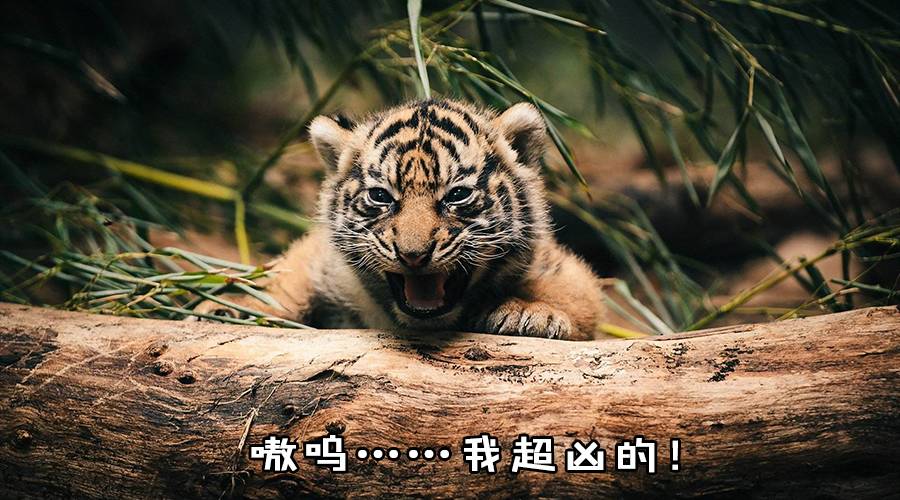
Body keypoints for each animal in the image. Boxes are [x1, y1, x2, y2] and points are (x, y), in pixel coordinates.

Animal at [195, 99, 606, 340]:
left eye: (457, 195)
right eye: (381, 196)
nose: (413, 255)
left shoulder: (559, 265)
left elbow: (576, 293)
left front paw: (528, 314)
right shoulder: (320, 258)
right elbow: (286, 276)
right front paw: (231, 307)